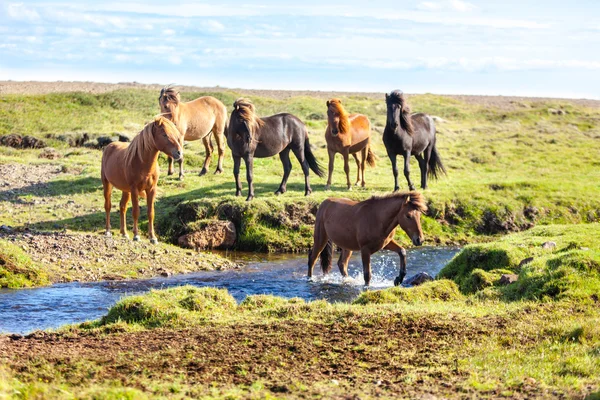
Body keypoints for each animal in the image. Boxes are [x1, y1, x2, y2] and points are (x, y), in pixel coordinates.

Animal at [101, 115, 183, 244]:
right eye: (164, 134)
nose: (179, 153)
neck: (142, 163)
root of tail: (109, 146)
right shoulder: (134, 190)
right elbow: (136, 212)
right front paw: (136, 235)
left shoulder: (151, 189)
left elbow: (151, 213)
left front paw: (153, 237)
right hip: (107, 184)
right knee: (108, 206)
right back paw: (108, 231)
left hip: (126, 190)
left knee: (122, 206)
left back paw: (124, 233)